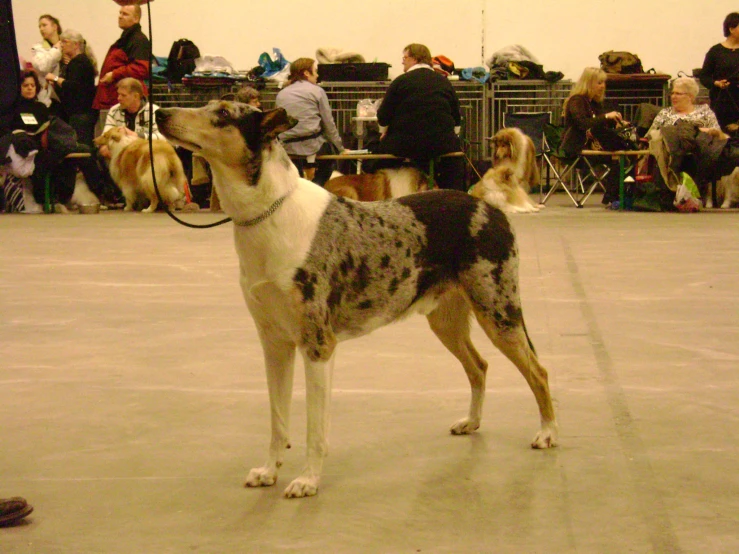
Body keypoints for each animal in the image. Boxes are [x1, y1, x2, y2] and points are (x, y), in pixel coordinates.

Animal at [158, 101, 560, 498]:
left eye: (223, 114)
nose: (161, 112)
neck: (268, 215)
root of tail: (489, 207)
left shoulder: (318, 345)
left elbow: (314, 428)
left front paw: (308, 480)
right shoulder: (274, 344)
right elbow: (278, 420)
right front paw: (269, 471)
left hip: (499, 313)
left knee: (538, 371)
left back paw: (547, 434)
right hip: (446, 322)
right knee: (479, 366)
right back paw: (472, 422)